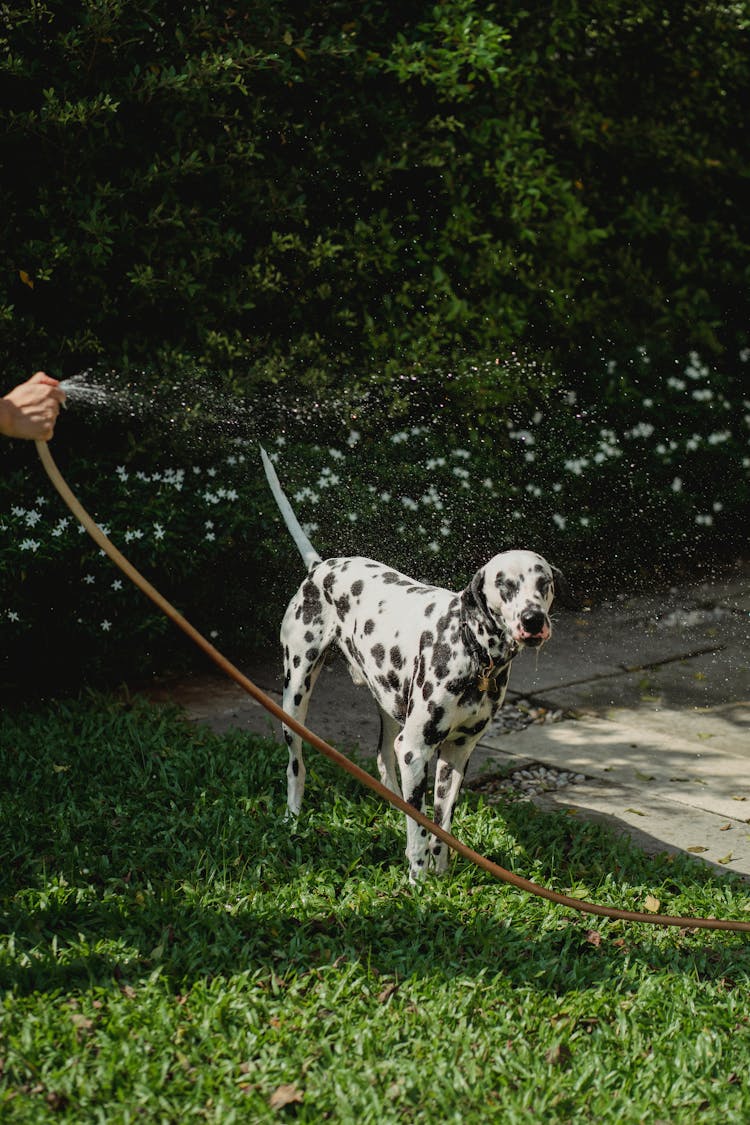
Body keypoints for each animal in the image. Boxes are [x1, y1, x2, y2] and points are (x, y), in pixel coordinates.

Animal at [260, 445, 559, 877]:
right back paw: (294, 816)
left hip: (390, 712)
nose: (534, 620)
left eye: (544, 583)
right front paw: (418, 878)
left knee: (384, 766)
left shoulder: (456, 753)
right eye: (505, 584)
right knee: (295, 765)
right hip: (295, 699)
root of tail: (321, 567)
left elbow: (441, 826)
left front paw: (440, 872)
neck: (473, 652)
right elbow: (419, 827)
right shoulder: (416, 750)